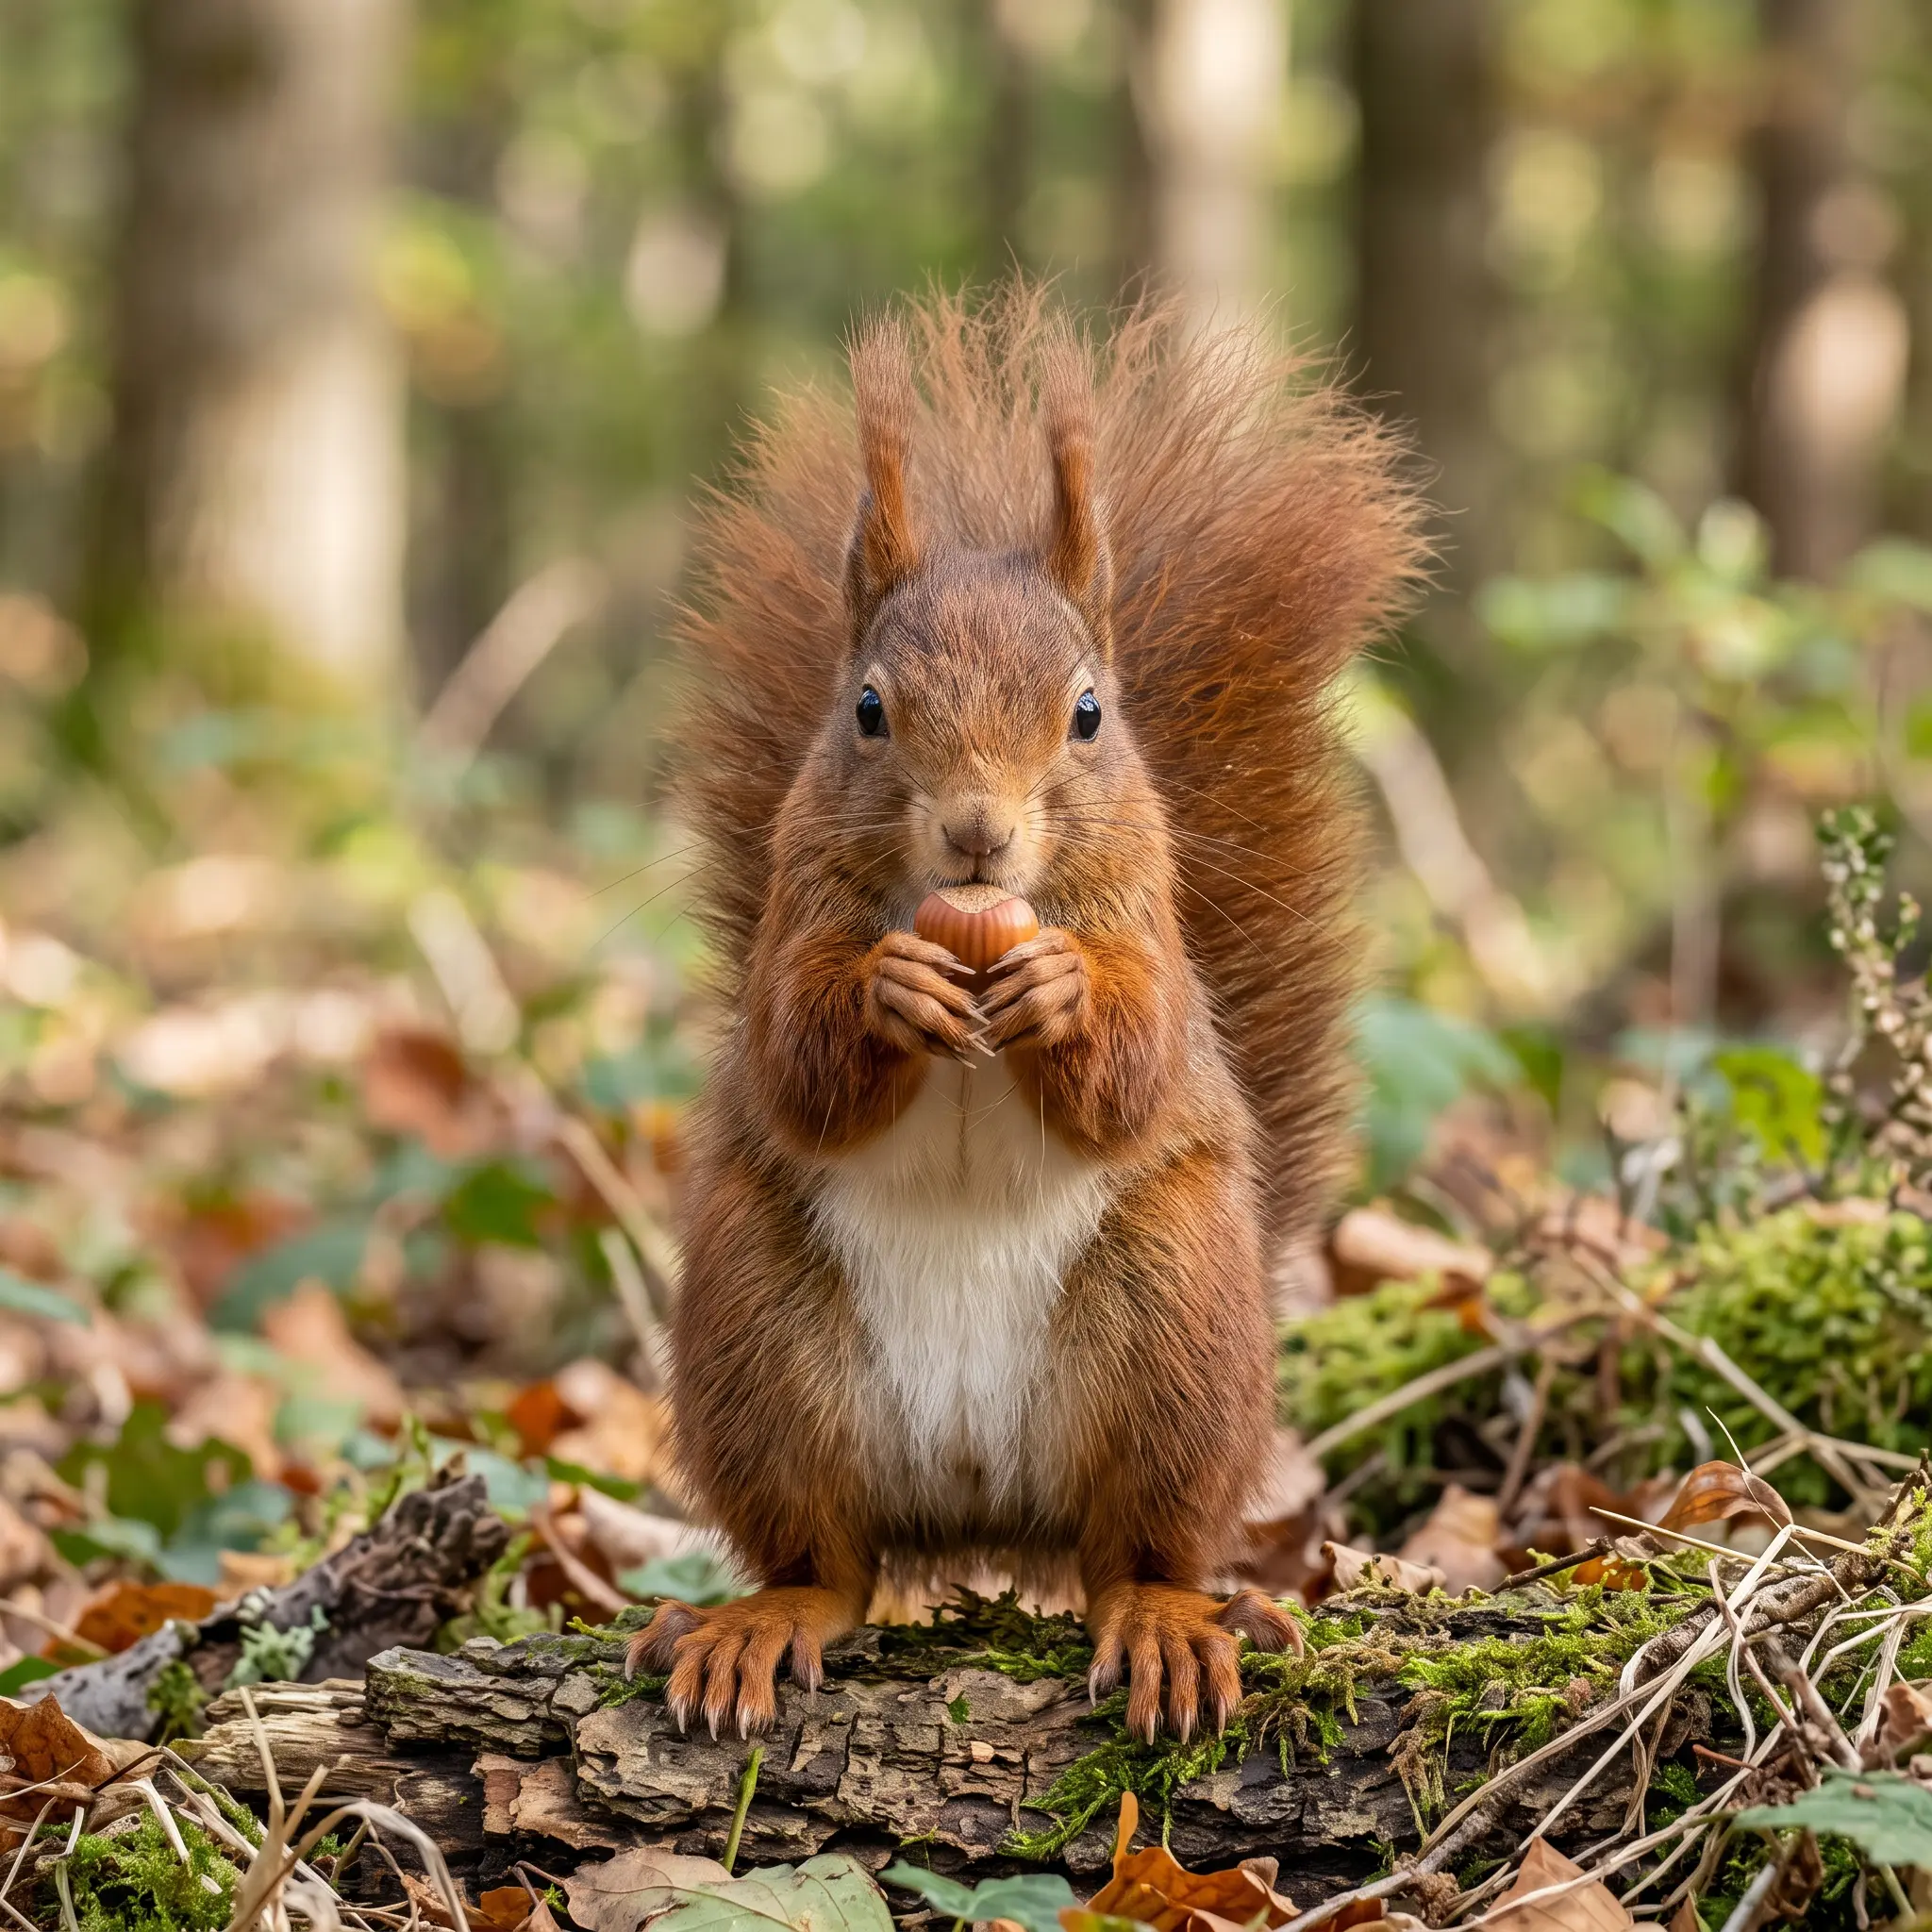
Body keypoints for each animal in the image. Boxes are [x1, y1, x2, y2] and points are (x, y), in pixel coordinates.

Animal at [630, 285, 1427, 1743]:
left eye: (1090, 714)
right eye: (868, 708)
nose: (977, 835)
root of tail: (981, 1510)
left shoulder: (1152, 938)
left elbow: (1138, 1062)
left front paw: (1057, 994)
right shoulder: (790, 924)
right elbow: (793, 1057)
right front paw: (889, 990)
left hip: (1171, 1331)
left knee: (1138, 1549)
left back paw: (1166, 1621)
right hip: (761, 1338)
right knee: (828, 1558)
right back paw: (762, 1620)